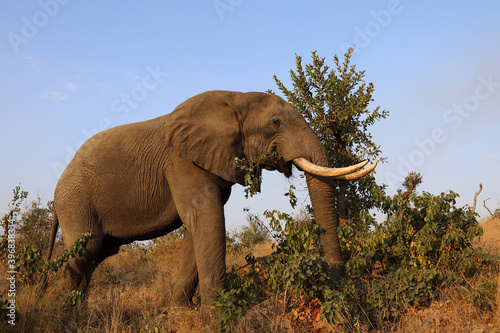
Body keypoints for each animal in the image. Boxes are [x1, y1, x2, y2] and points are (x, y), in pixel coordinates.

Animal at [47, 89, 376, 304]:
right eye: (276, 124)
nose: (337, 285)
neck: (235, 98)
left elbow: (197, 228)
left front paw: (182, 312)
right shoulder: (181, 161)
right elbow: (206, 216)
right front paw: (218, 314)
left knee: (95, 256)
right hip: (75, 201)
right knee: (86, 250)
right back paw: (60, 310)